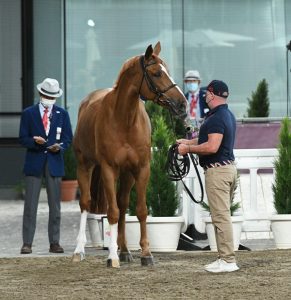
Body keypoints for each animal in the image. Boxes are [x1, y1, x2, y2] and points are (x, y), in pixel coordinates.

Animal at [72, 42, 187, 268]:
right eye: (157, 73)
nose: (182, 103)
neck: (125, 121)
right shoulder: (108, 169)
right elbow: (112, 212)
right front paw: (112, 257)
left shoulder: (141, 169)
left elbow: (140, 210)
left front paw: (146, 254)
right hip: (84, 165)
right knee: (86, 203)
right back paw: (79, 250)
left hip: (126, 175)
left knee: (123, 202)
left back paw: (125, 251)